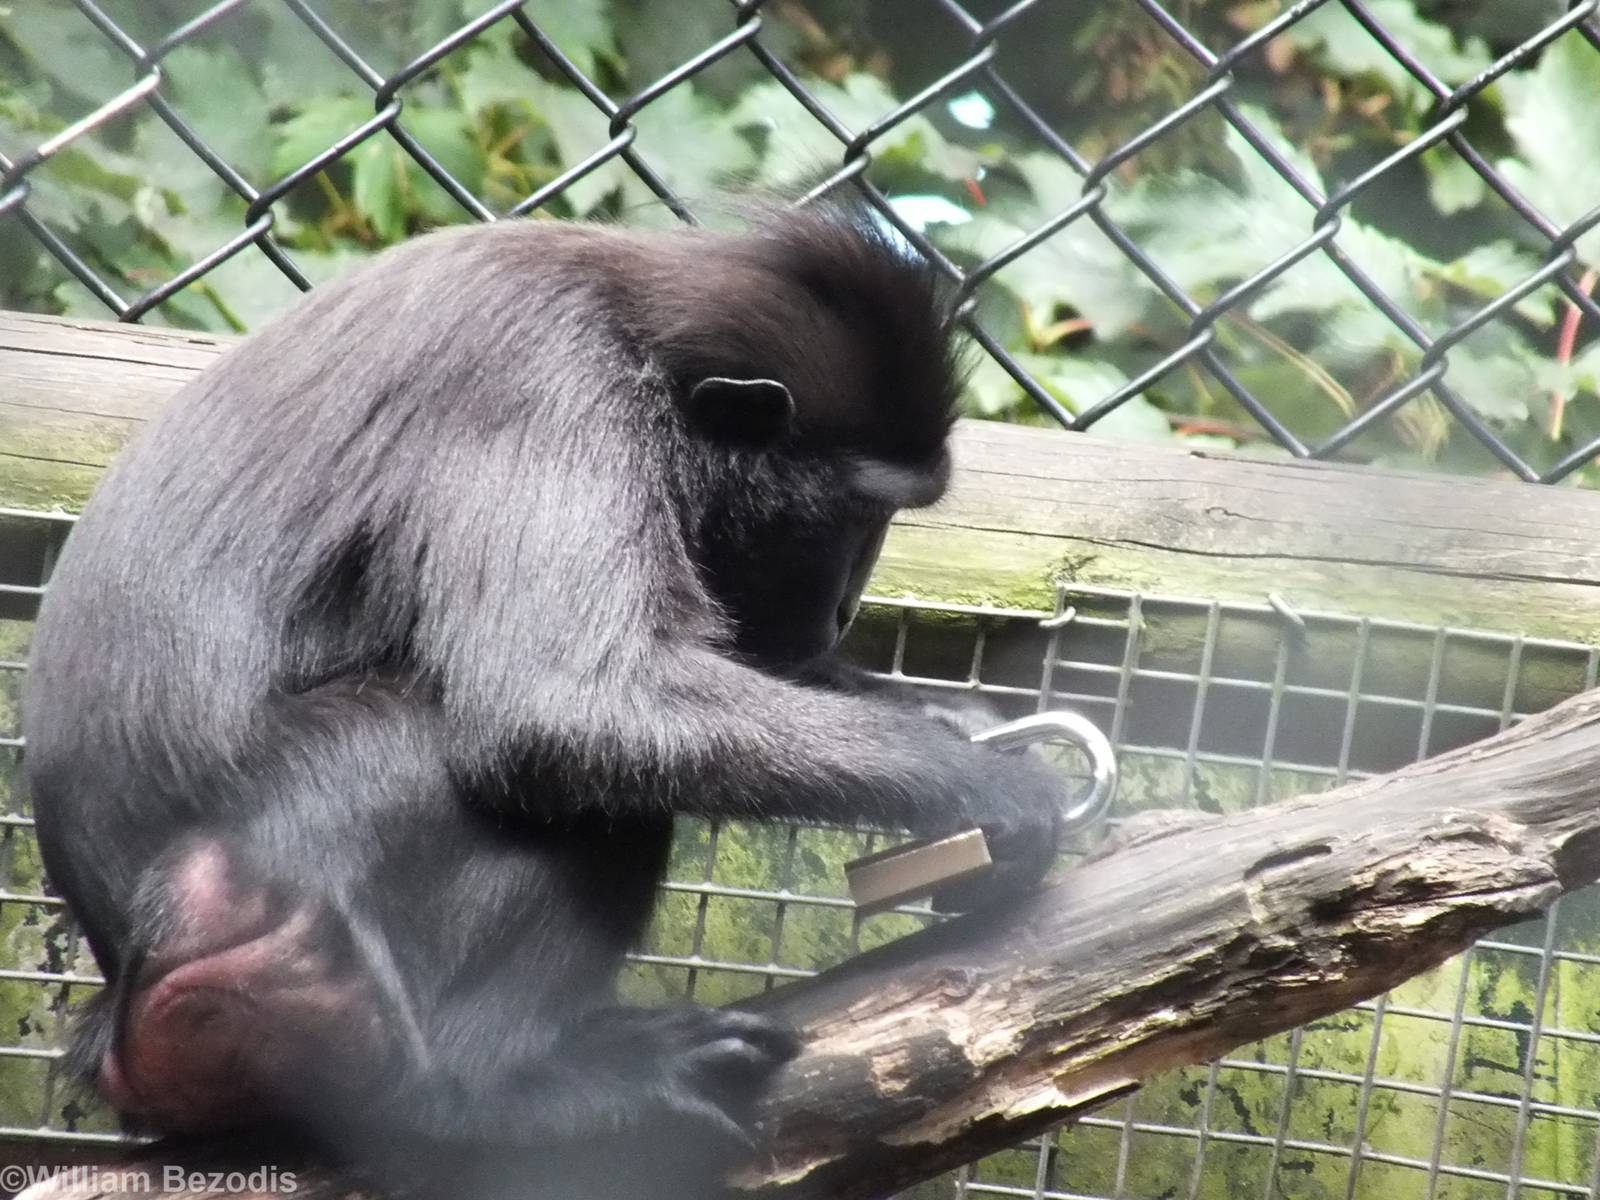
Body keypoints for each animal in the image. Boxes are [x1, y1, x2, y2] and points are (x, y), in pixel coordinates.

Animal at [21, 205, 1067, 1194]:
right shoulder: (548, 383)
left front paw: (964, 729)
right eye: (863, 513)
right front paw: (983, 786)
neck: (644, 334)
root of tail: (124, 1008)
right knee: (503, 769)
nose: (850, 602)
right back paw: (474, 1092)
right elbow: (560, 709)